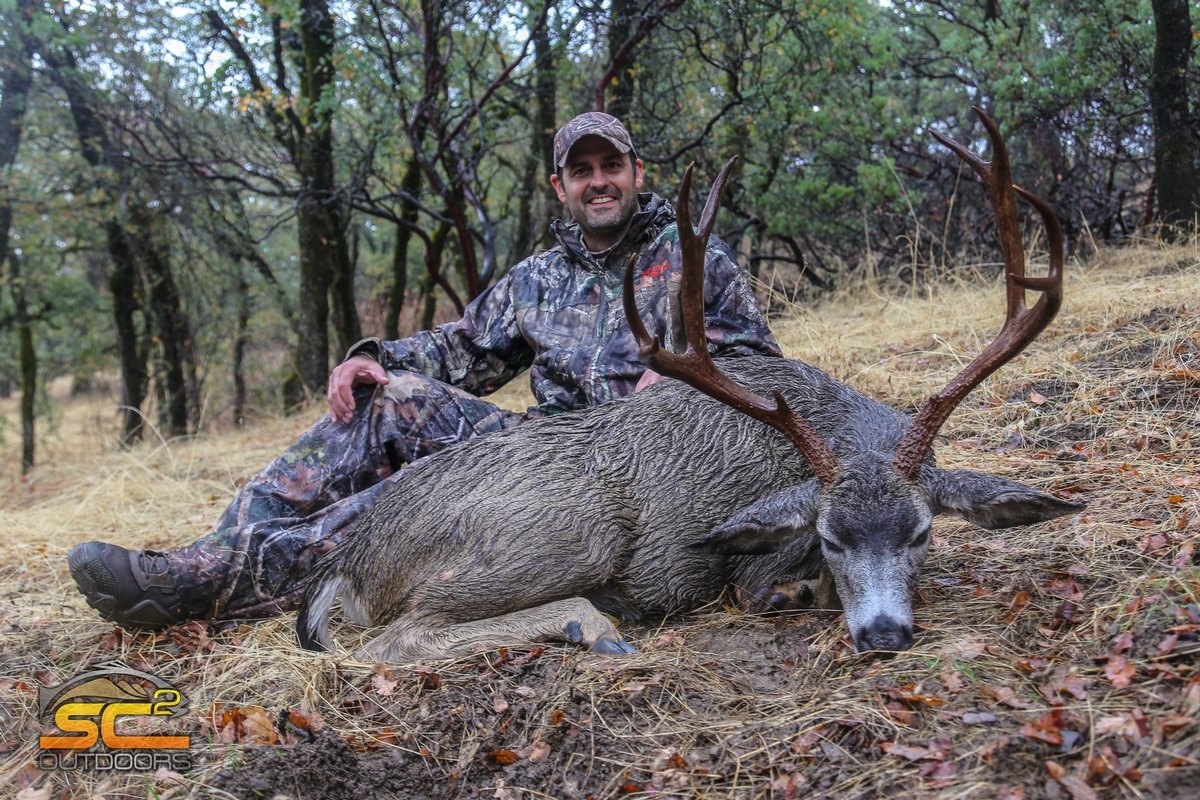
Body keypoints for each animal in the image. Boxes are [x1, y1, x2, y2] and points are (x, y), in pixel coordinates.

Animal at [295, 109, 1084, 662]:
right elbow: (768, 585)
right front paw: (798, 590)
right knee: (396, 638)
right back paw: (591, 624)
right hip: (570, 532)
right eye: (829, 537)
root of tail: (353, 560)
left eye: (921, 532)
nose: (884, 635)